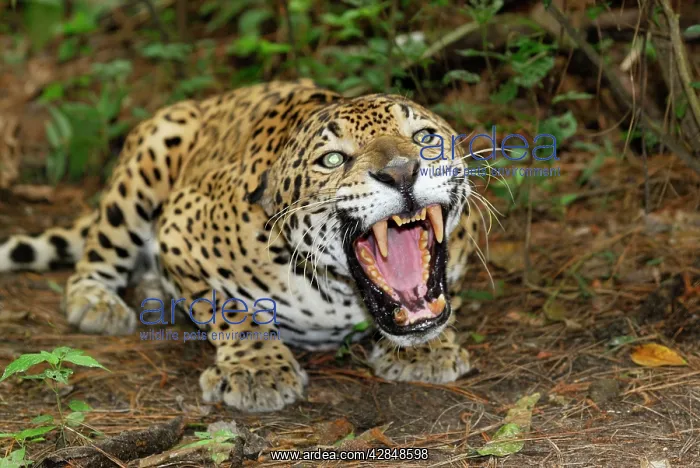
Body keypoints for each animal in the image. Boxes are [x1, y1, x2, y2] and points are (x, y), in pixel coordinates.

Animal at [0, 79, 481, 412]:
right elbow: (232, 309)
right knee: (100, 252)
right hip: (149, 157)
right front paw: (257, 369)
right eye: (332, 160)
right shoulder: (179, 229)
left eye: (424, 138)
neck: (342, 295)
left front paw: (427, 350)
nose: (401, 171)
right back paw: (97, 301)